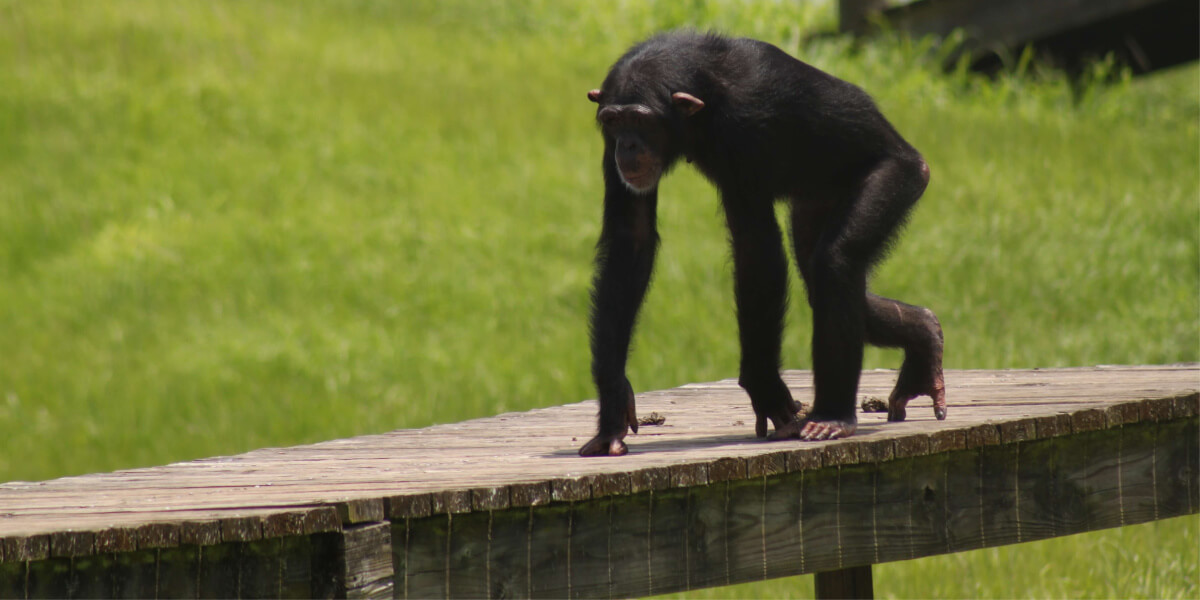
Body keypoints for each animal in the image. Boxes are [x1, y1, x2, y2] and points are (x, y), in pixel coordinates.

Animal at [580, 30, 945, 456]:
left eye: (641, 120)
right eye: (613, 121)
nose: (628, 146)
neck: (701, 96)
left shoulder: (745, 130)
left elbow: (757, 248)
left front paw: (765, 388)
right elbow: (630, 238)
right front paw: (612, 408)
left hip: (900, 174)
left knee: (836, 263)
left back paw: (833, 416)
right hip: (817, 199)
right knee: (821, 280)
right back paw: (923, 334)